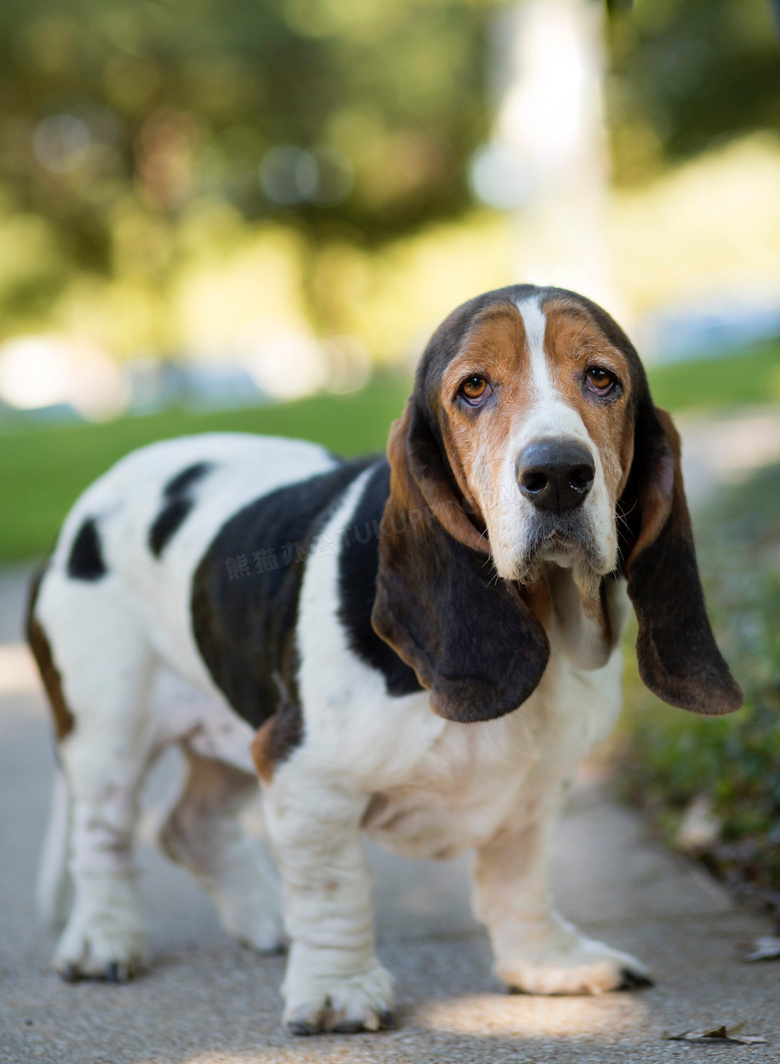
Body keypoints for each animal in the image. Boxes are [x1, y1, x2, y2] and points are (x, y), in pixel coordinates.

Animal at [27, 283, 740, 1029]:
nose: (557, 474)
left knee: (185, 826)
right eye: (473, 387)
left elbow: (518, 879)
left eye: (602, 378)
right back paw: (103, 941)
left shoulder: (540, 789)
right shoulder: (305, 774)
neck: (543, 609)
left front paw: (547, 961)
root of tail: (72, 525)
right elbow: (334, 888)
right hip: (109, 734)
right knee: (103, 837)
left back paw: (264, 919)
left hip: (230, 722)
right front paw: (337, 989)